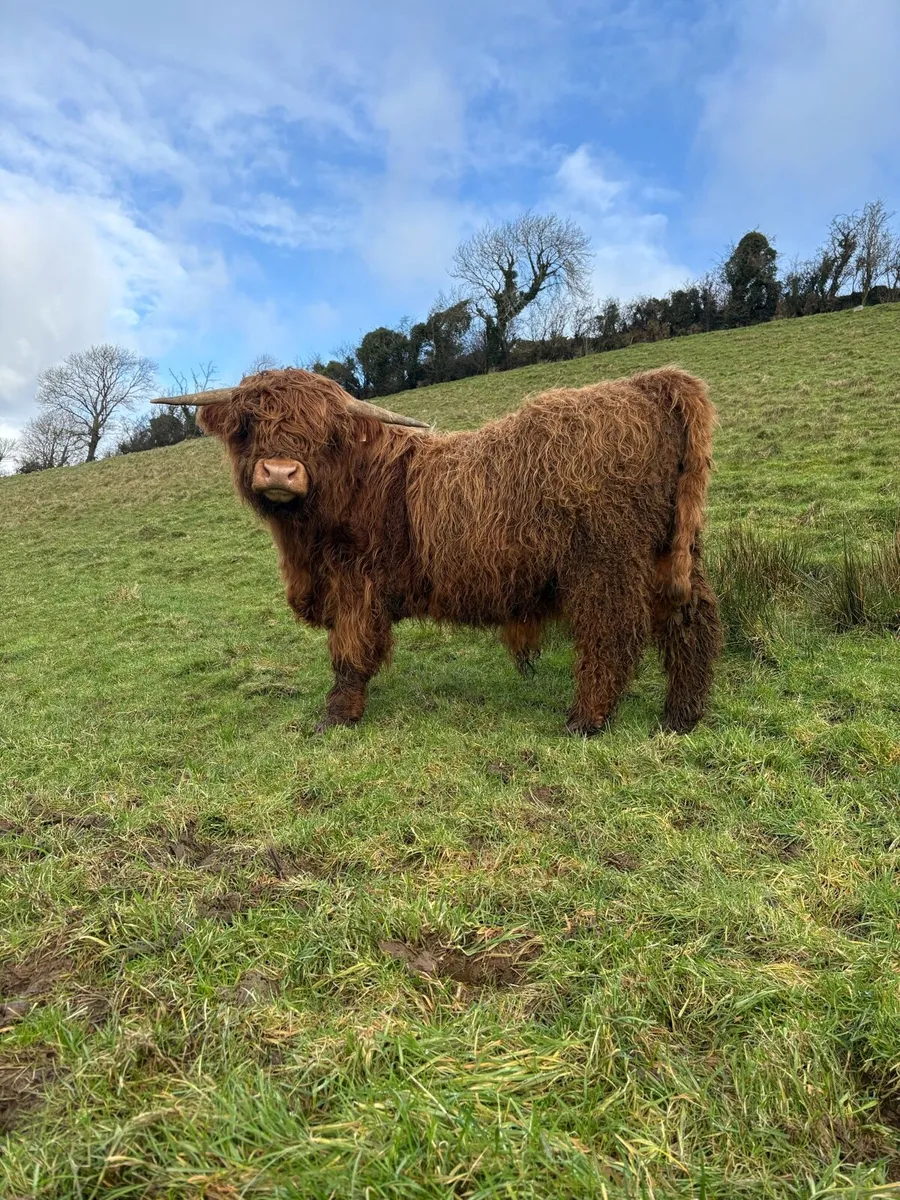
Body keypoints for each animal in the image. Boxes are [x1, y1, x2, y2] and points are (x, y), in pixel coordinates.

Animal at [154, 366, 722, 735]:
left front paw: (336, 717)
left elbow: (348, 653)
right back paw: (681, 716)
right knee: (692, 622)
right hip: (670, 553)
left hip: (606, 563)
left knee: (612, 637)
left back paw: (585, 720)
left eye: (325, 433)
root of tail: (648, 383)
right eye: (249, 423)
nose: (278, 472)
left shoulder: (355, 586)